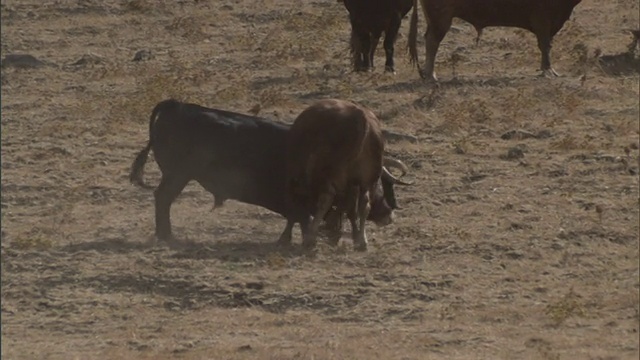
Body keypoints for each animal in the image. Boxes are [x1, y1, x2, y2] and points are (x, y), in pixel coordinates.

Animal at [282, 98, 412, 250]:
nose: (389, 216)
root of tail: (360, 117)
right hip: (366, 180)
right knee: (363, 205)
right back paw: (362, 241)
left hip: (330, 178)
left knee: (326, 200)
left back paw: (311, 238)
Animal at [408, 0, 584, 81]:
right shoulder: (542, 21)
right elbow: (545, 45)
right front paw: (548, 70)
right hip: (441, 19)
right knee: (432, 41)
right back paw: (431, 74)